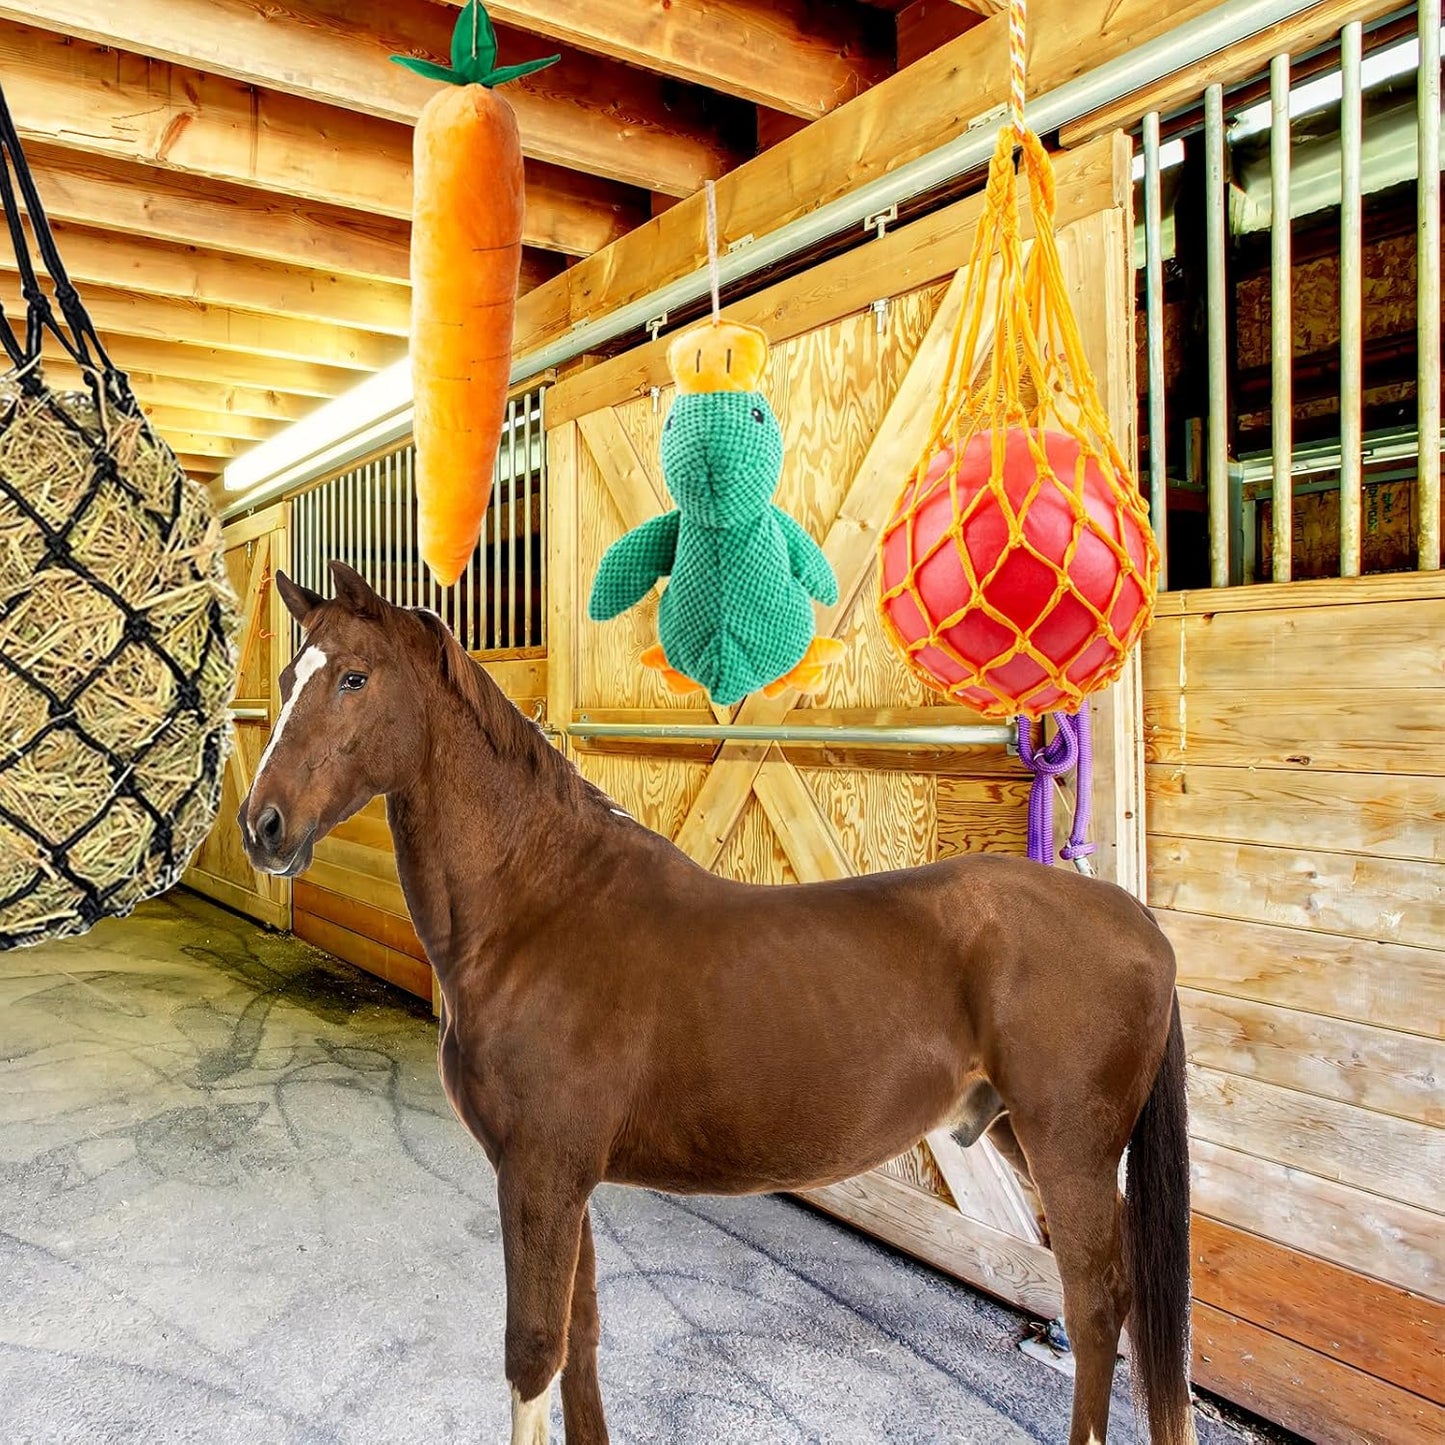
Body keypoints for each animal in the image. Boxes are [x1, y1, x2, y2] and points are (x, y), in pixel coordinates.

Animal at [239, 561, 1194, 1445]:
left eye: (353, 677)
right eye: (287, 678)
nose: (262, 826)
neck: (540, 905)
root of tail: (1133, 918)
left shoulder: (537, 1173)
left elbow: (533, 1351)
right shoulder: (563, 1178)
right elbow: (581, 1337)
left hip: (1068, 1150)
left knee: (1096, 1307)